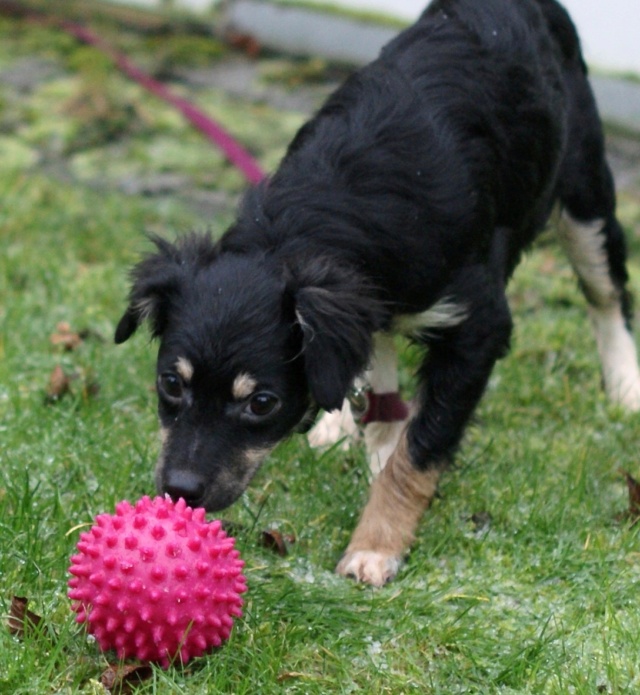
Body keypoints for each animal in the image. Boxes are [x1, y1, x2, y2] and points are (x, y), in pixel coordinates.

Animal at [116, 0, 640, 588]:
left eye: (261, 403)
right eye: (170, 383)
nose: (179, 490)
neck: (324, 215)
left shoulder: (478, 326)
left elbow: (420, 449)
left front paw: (375, 545)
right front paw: (364, 438)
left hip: (584, 194)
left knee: (607, 294)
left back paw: (626, 387)